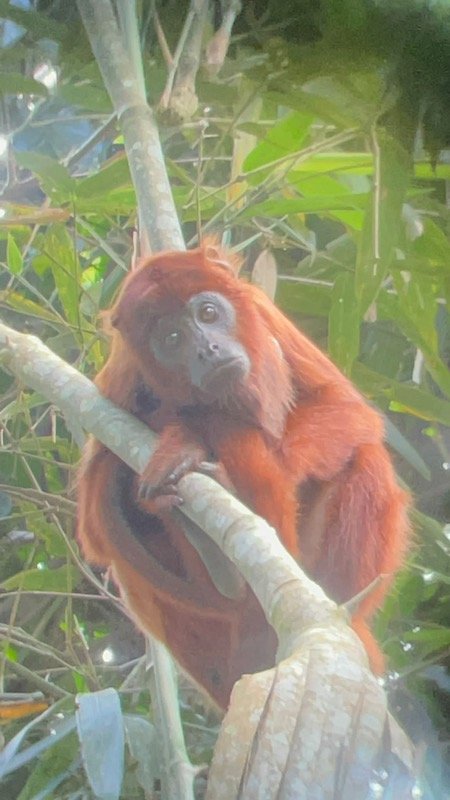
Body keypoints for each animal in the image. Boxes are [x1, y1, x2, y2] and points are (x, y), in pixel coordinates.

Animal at [76, 242, 408, 708]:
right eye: (172, 339)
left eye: (208, 313)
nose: (208, 349)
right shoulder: (119, 379)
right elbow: (95, 525)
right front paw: (181, 441)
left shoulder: (263, 311)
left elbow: (344, 408)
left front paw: (195, 442)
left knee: (366, 459)